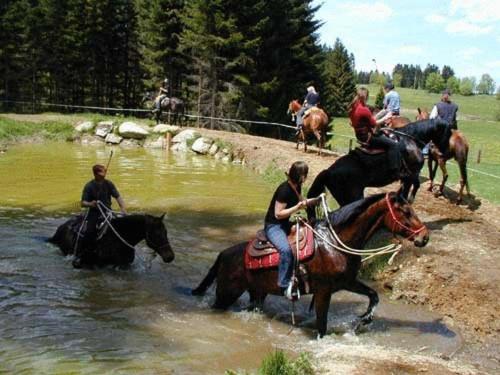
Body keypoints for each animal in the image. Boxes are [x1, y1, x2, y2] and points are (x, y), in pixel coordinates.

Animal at [193, 194, 428, 338]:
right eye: (406, 212)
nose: (424, 237)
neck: (334, 243)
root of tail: (224, 254)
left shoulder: (347, 282)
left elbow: (373, 295)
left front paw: (364, 320)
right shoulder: (324, 291)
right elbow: (321, 325)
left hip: (257, 293)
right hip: (227, 293)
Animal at [306, 118, 452, 210]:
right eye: (449, 133)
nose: (443, 153)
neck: (410, 140)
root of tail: (328, 171)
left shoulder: (408, 177)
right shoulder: (411, 175)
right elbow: (411, 189)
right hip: (352, 196)